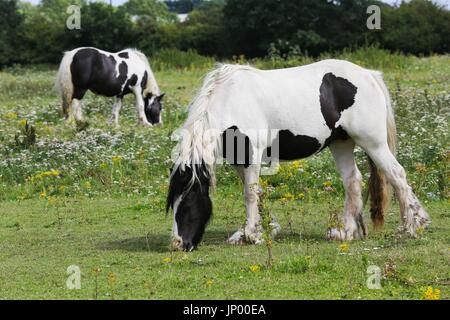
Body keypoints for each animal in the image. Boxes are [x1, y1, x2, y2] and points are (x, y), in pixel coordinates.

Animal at [166, 58, 428, 251]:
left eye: (187, 201)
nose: (178, 245)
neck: (232, 100)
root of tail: (369, 74)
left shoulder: (252, 155)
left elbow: (249, 194)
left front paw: (251, 235)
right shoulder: (240, 159)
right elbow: (255, 193)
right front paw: (260, 229)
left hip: (374, 143)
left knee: (397, 175)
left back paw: (411, 227)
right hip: (341, 144)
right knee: (353, 181)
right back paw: (346, 232)